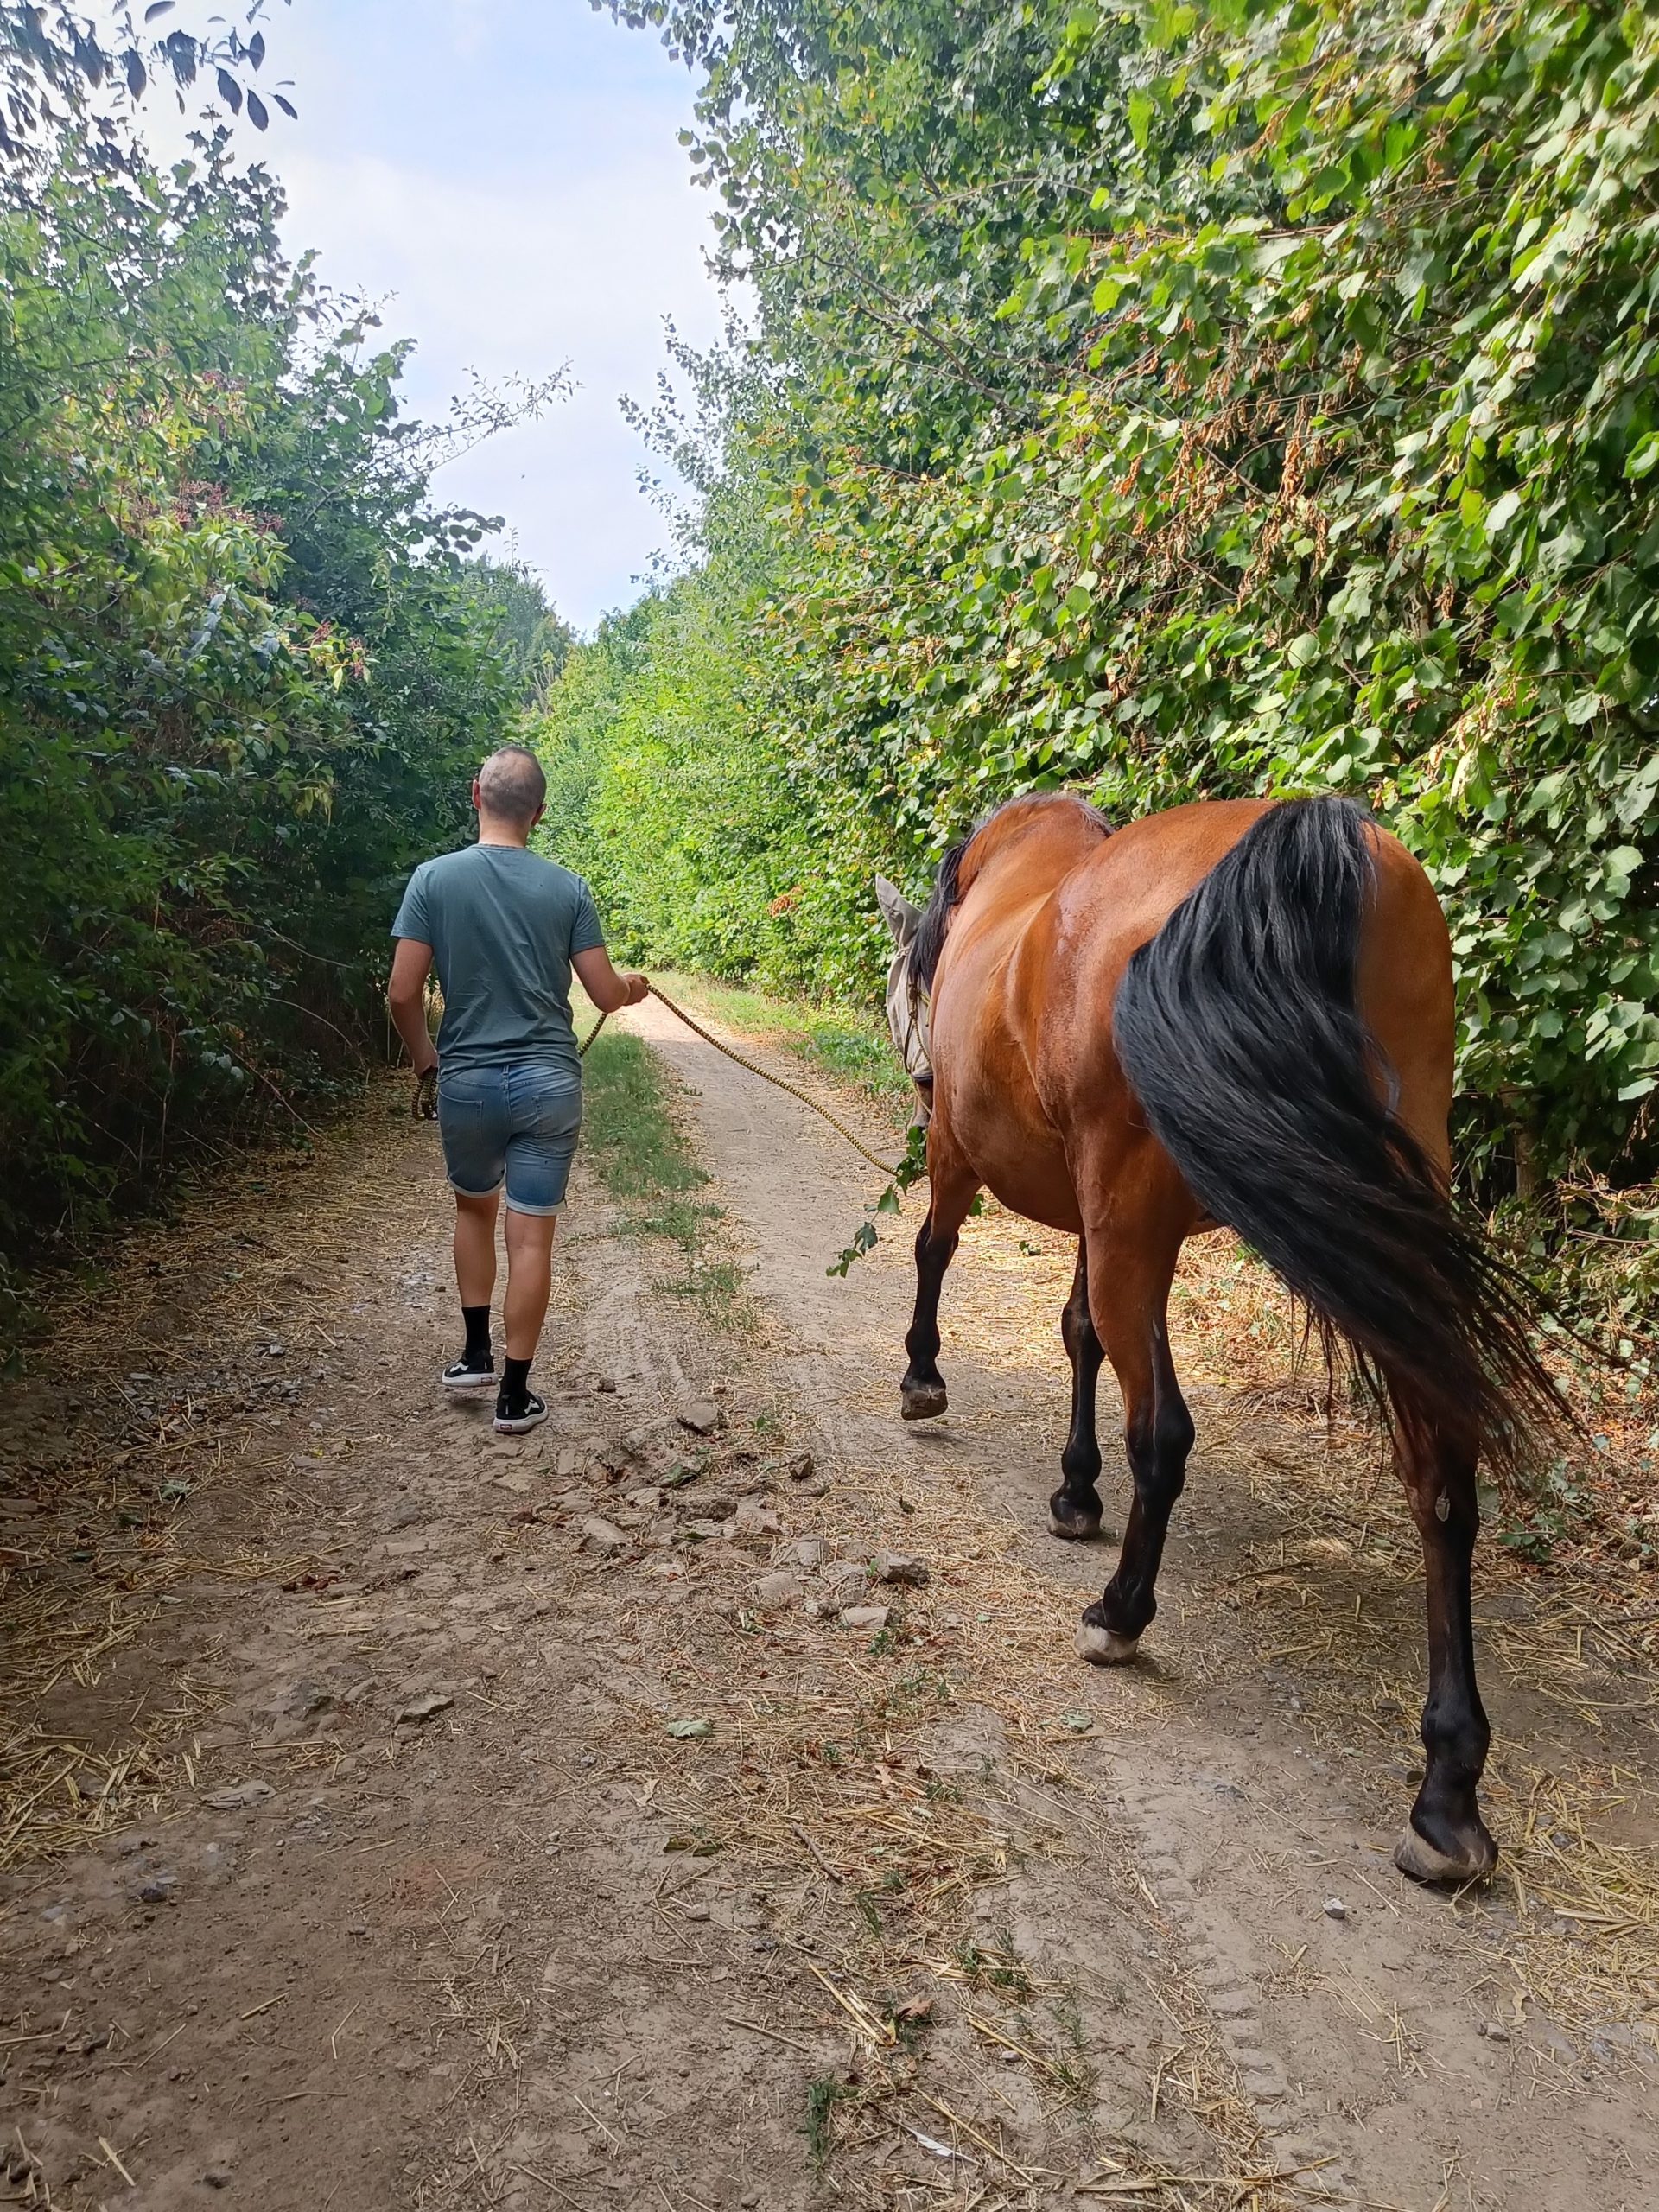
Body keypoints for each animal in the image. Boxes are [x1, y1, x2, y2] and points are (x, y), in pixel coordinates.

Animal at [875, 791, 1562, 1885]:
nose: (916, 1066)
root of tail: (1315, 841)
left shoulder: (966, 1154)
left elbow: (937, 1249)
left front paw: (923, 1377)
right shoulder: (1095, 1213)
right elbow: (1079, 1333)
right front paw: (1075, 1491)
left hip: (1135, 1211)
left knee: (1165, 1432)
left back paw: (1119, 1615)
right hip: (1380, 1207)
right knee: (1443, 1480)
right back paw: (1448, 1791)